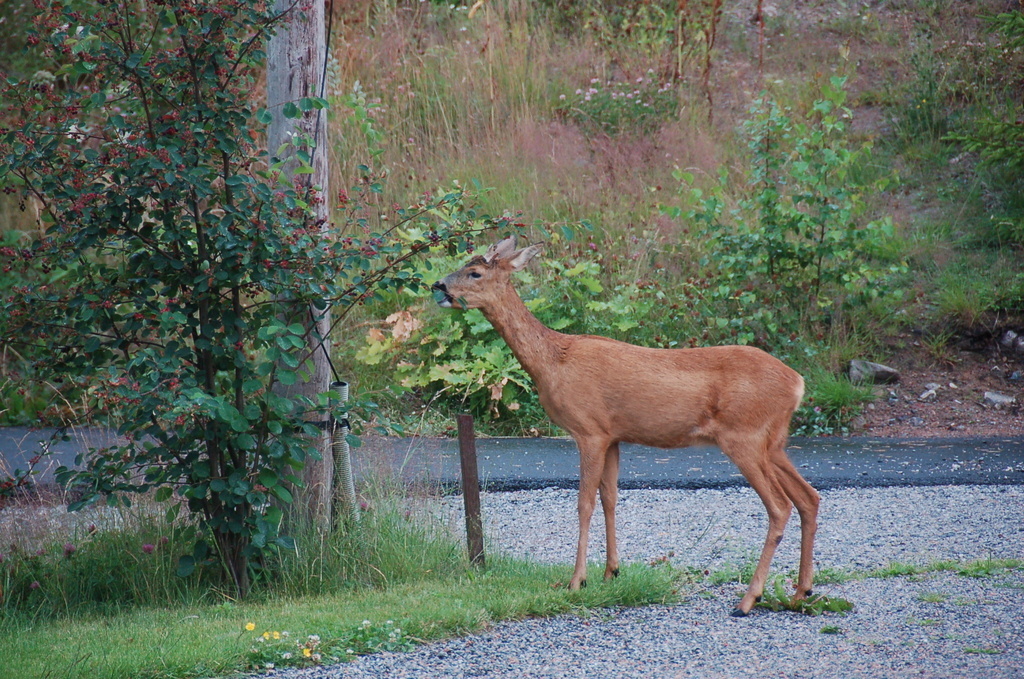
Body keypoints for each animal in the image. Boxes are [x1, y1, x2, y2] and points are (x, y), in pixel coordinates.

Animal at [431, 235, 820, 616]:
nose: (438, 285)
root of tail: (797, 383)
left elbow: (584, 503)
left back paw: (748, 600)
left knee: (779, 506)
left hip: (744, 437)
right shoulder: (613, 435)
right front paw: (611, 572)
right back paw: (802, 591)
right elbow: (611, 498)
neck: (554, 361)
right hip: (773, 442)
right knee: (809, 497)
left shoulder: (589, 430)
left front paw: (577, 581)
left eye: (475, 272)